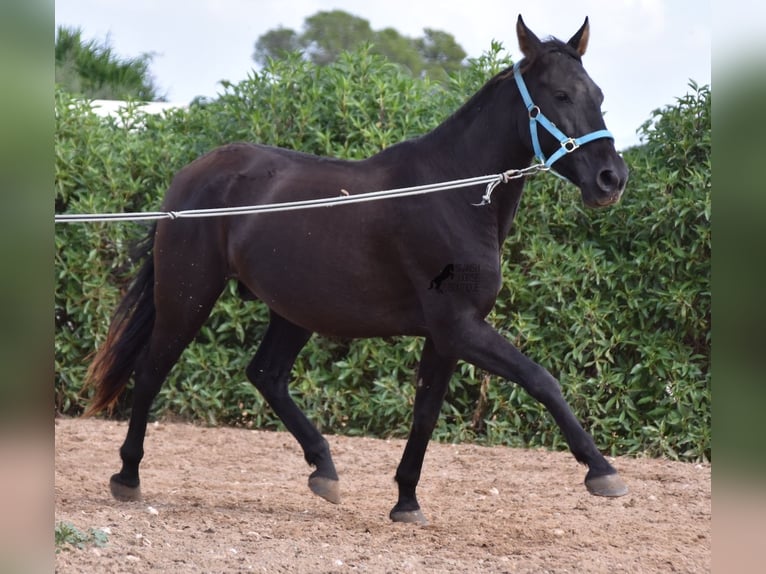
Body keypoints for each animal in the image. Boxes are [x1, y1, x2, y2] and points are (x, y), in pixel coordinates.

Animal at [85, 16, 632, 528]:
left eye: (600, 96)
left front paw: (406, 501)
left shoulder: (447, 335)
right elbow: (541, 380)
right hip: (189, 293)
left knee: (266, 375)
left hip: (294, 308)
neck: (452, 195)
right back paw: (127, 476)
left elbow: (424, 415)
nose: (612, 178)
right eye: (560, 95)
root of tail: (189, 178)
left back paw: (324, 470)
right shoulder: (459, 327)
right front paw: (603, 472)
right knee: (152, 371)